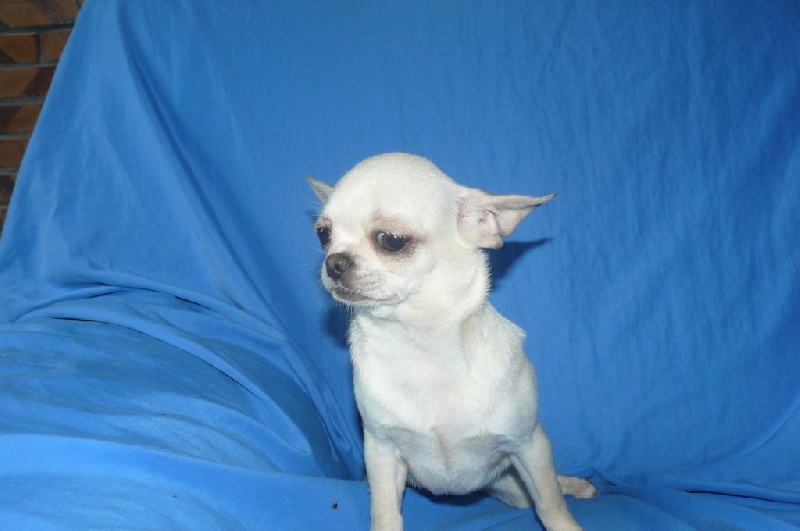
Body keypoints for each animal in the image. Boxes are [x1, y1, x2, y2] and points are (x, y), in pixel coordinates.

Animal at [308, 153, 596, 531]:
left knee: (549, 488)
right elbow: (384, 511)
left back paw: (574, 484)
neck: (420, 346)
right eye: (323, 235)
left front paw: (566, 521)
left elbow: (550, 502)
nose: (334, 261)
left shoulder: (529, 444)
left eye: (391, 240)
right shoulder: (382, 452)